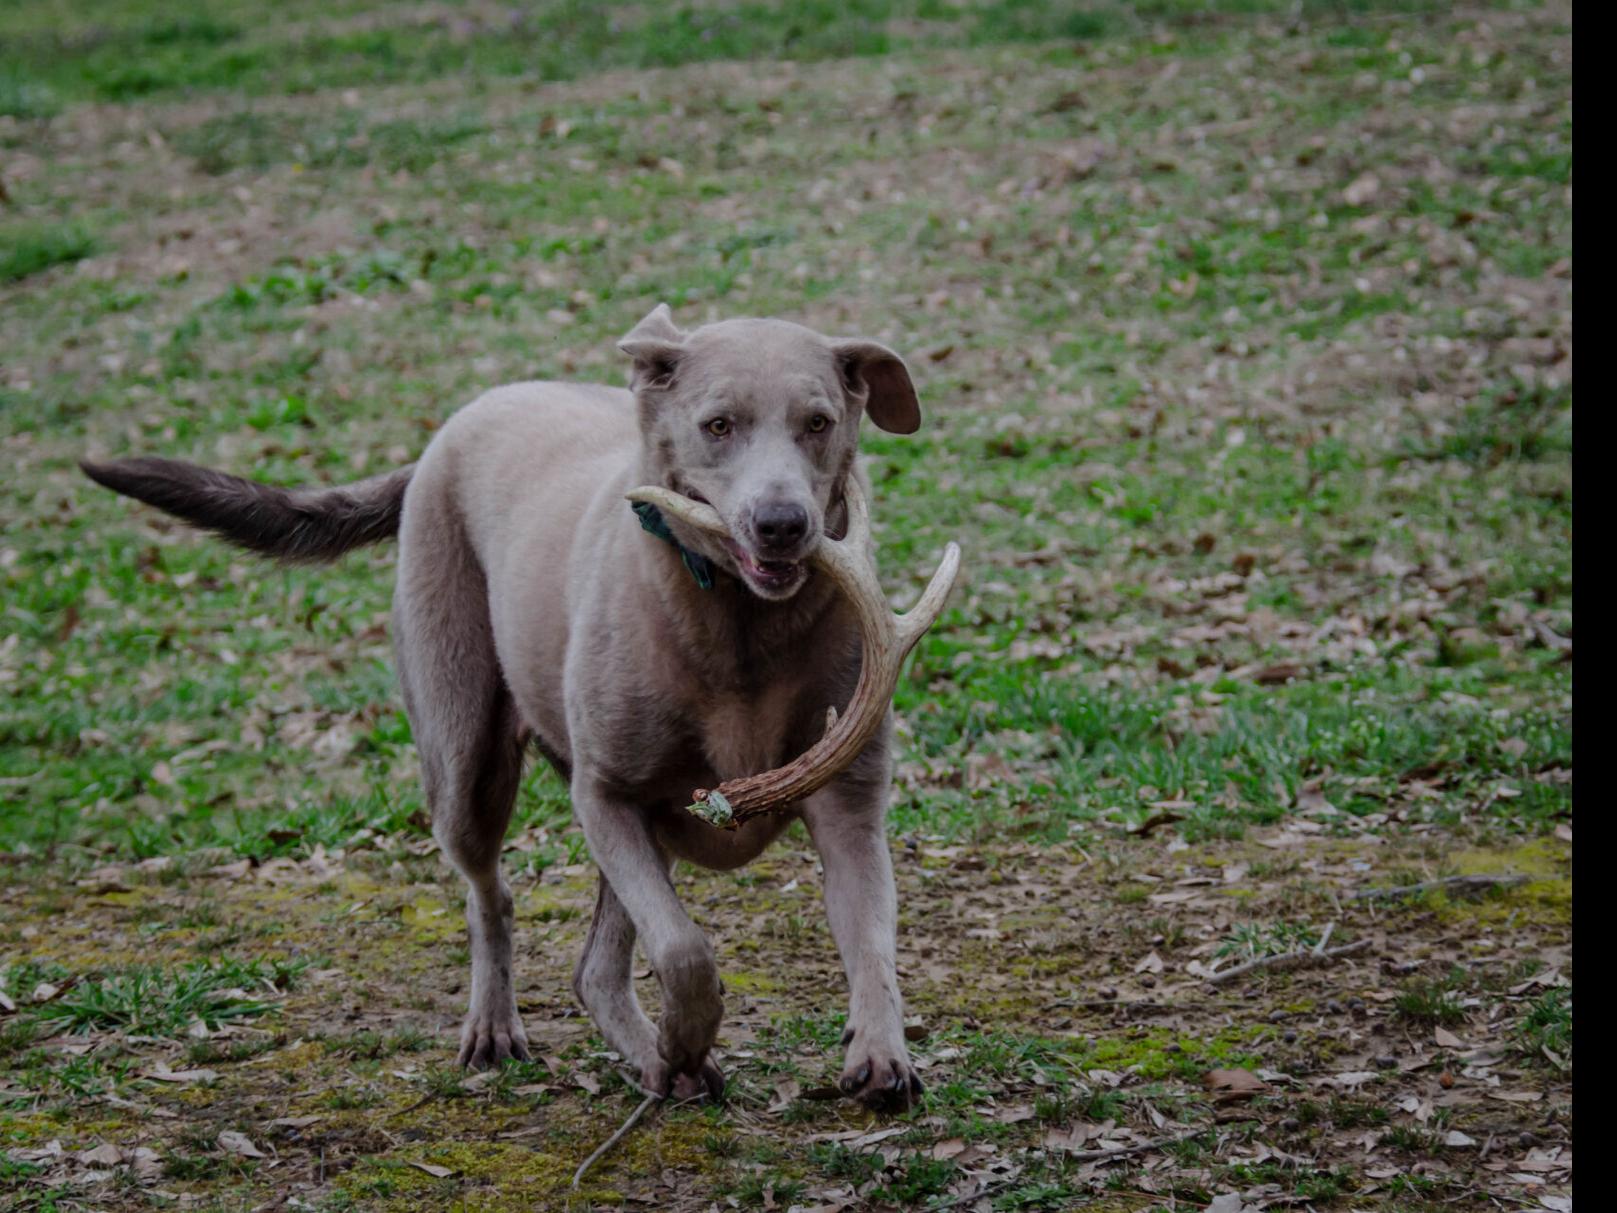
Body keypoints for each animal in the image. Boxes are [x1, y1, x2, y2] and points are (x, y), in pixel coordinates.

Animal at [82, 304, 931, 1112]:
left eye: (817, 422)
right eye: (717, 424)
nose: (782, 524)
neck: (736, 620)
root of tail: (456, 423)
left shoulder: (847, 805)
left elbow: (872, 944)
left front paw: (877, 1053)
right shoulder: (608, 795)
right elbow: (684, 952)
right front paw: (687, 1040)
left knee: (594, 970)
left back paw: (650, 1057)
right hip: (466, 757)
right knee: (491, 896)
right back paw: (504, 1030)